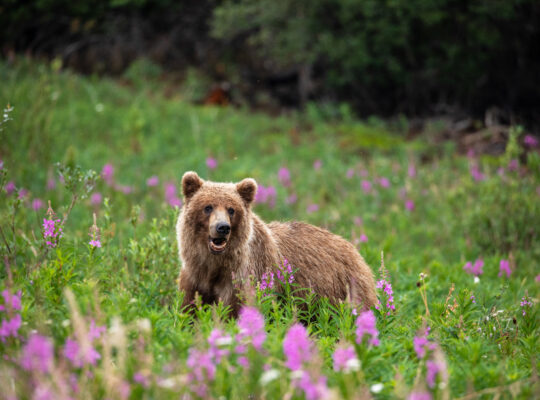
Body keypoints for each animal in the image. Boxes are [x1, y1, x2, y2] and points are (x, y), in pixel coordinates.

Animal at [176, 172, 376, 316]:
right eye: (208, 207)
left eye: (231, 209)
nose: (222, 227)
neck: (215, 264)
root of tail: (353, 248)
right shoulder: (195, 276)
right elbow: (189, 309)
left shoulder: (244, 277)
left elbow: (234, 310)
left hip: (345, 287)